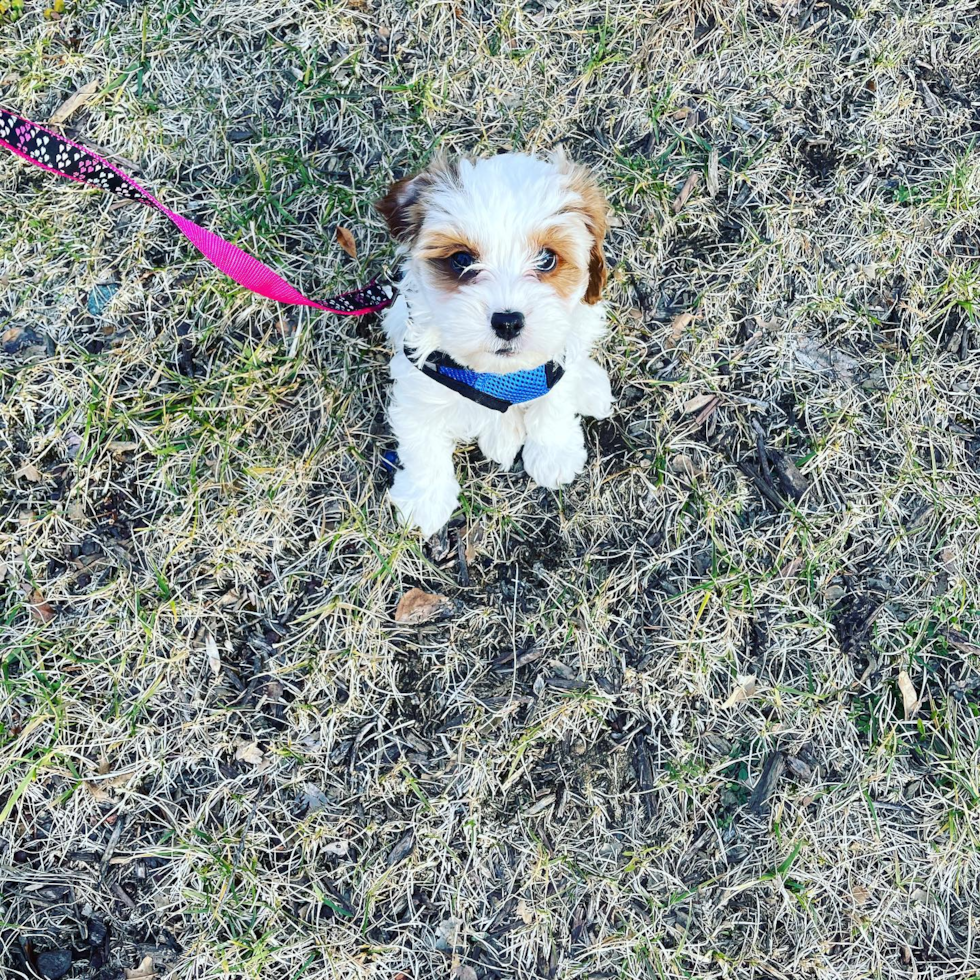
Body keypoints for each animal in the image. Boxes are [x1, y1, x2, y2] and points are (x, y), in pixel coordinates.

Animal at [376, 152, 612, 536]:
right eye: (461, 259)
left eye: (546, 258)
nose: (508, 322)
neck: (501, 375)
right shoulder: (421, 382)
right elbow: (422, 441)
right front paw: (425, 498)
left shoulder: (554, 360)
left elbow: (555, 399)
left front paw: (554, 452)